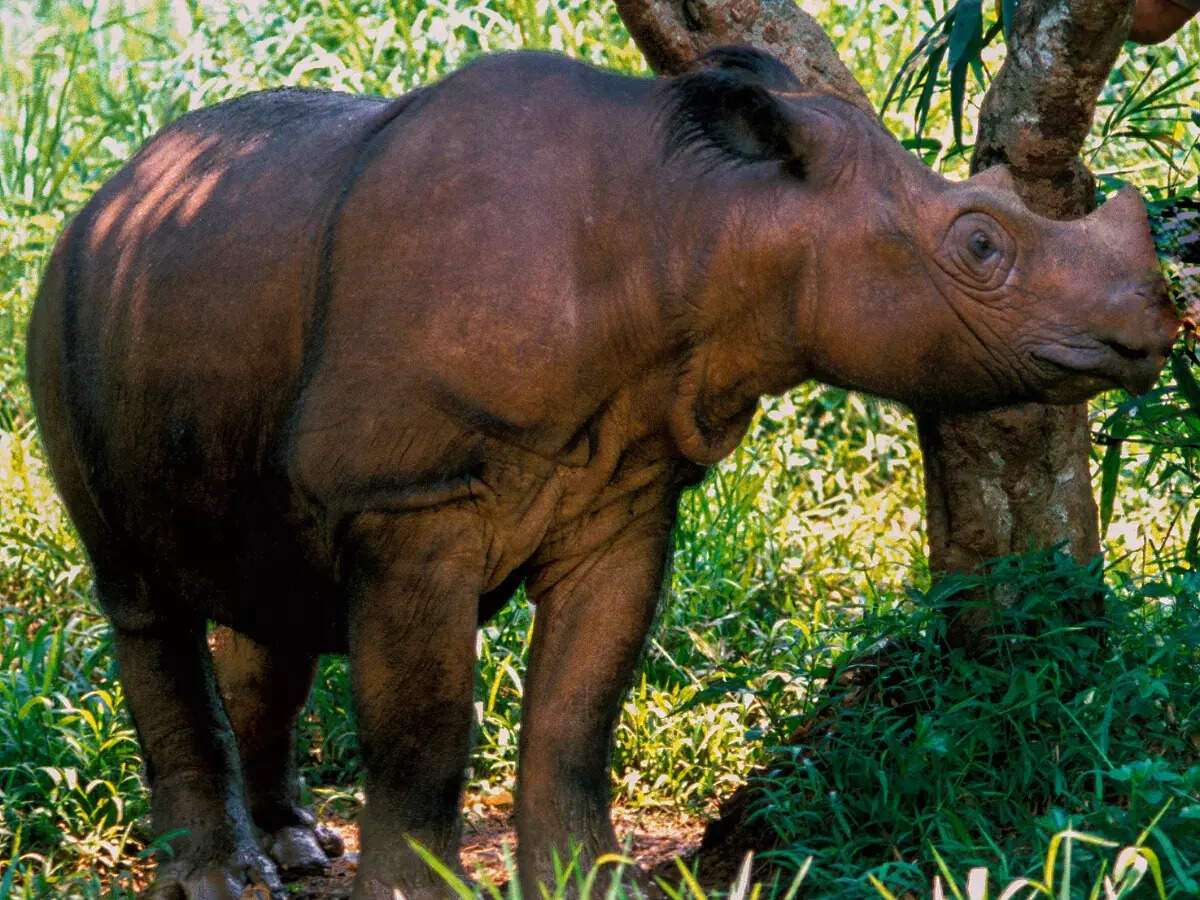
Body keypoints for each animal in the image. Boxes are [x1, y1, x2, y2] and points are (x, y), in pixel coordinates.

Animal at [27, 47, 1178, 899]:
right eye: (980, 246)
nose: (1156, 327)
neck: (705, 220)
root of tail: (109, 190)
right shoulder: (413, 499)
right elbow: (424, 729)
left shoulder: (627, 486)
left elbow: (582, 712)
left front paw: (590, 885)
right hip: (65, 301)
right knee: (141, 594)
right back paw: (220, 878)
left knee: (272, 603)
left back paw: (297, 851)